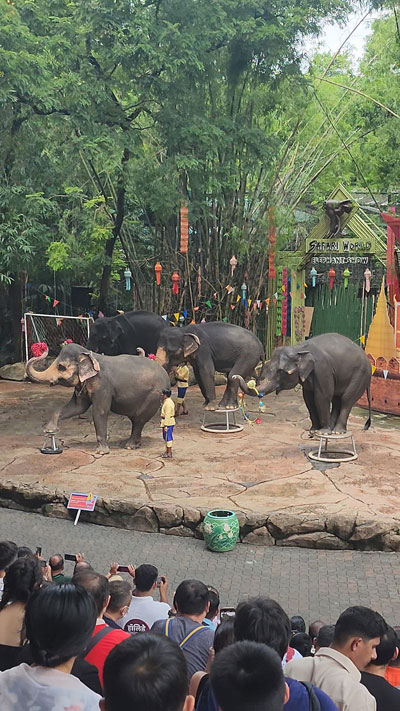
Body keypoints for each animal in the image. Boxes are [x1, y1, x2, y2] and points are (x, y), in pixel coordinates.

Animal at [26, 343, 170, 454]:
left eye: (61, 367)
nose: (43, 347)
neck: (89, 354)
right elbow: (77, 408)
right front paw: (50, 430)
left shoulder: (103, 385)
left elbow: (99, 412)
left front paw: (101, 452)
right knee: (135, 420)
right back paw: (133, 444)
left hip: (154, 396)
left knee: (140, 419)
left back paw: (129, 446)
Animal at [234, 333, 371, 434]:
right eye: (267, 368)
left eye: (282, 372)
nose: (235, 376)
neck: (299, 349)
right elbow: (308, 398)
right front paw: (314, 430)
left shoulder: (323, 369)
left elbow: (322, 396)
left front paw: (322, 432)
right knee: (337, 399)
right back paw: (332, 429)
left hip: (361, 375)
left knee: (346, 399)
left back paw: (337, 432)